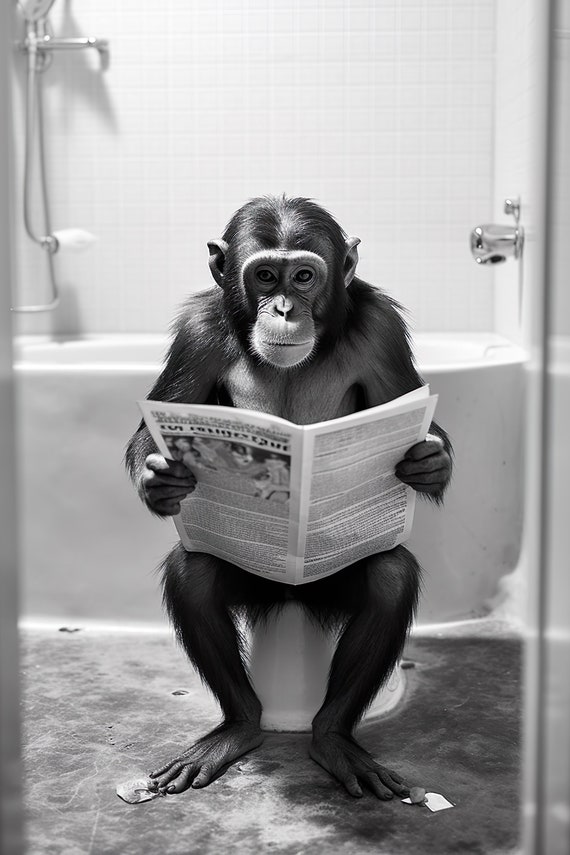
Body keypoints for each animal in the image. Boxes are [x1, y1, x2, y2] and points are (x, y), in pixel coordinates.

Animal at [125, 195, 452, 800]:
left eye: (303, 276)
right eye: (264, 276)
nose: (281, 307)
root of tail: (290, 597)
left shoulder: (382, 329)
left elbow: (407, 404)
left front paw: (428, 459)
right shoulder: (196, 333)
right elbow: (156, 421)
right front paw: (162, 476)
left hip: (327, 587)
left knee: (389, 575)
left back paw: (333, 738)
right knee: (194, 573)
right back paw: (238, 727)